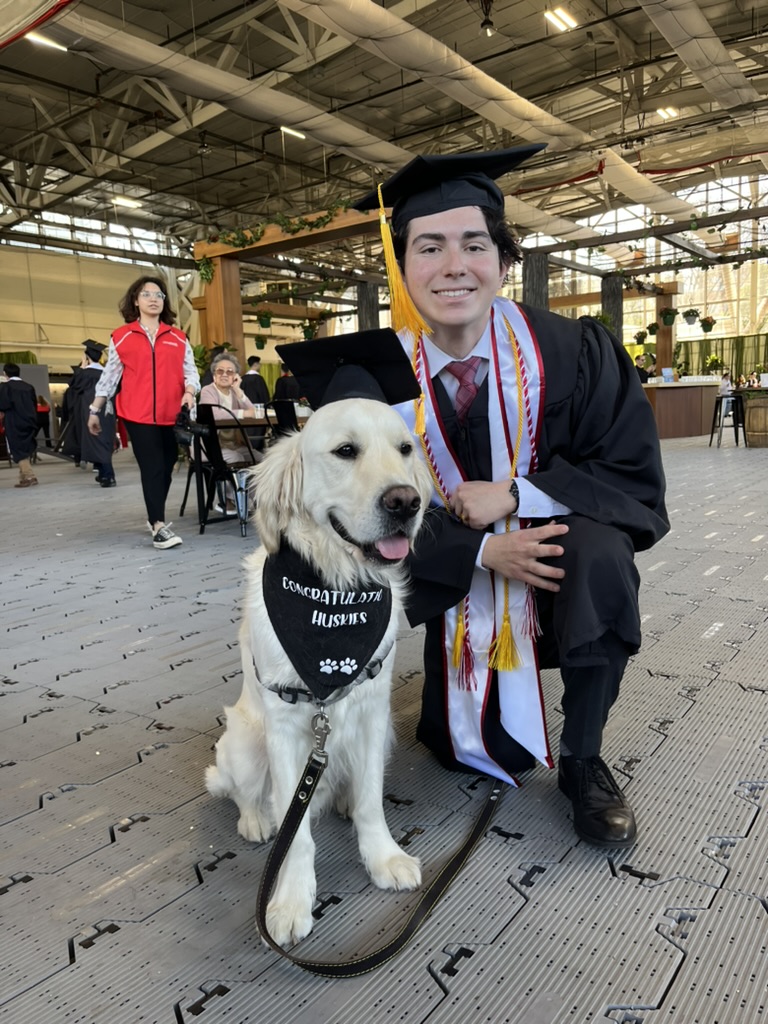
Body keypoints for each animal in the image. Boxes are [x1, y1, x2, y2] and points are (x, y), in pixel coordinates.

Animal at [205, 395, 434, 946]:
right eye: (345, 451)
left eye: (405, 449)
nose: (406, 502)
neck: (335, 585)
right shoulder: (287, 726)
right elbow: (297, 836)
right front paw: (289, 901)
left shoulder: (373, 714)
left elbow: (372, 801)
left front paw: (383, 858)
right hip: (244, 741)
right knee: (246, 793)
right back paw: (256, 820)